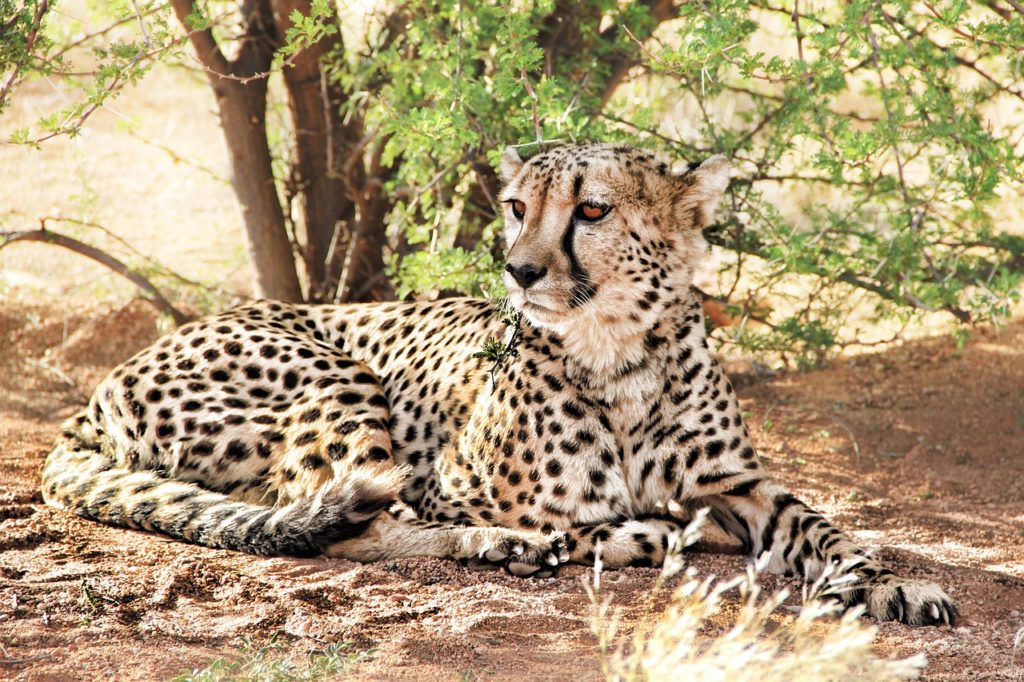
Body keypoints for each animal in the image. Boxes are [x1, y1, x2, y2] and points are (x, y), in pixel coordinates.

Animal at [44, 142, 954, 622]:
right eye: (518, 205)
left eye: (592, 210)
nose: (518, 269)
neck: (618, 351)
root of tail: (96, 394)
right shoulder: (444, 484)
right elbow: (574, 520)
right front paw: (585, 536)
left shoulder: (737, 484)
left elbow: (826, 529)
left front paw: (891, 583)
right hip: (334, 375)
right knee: (339, 518)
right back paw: (517, 546)